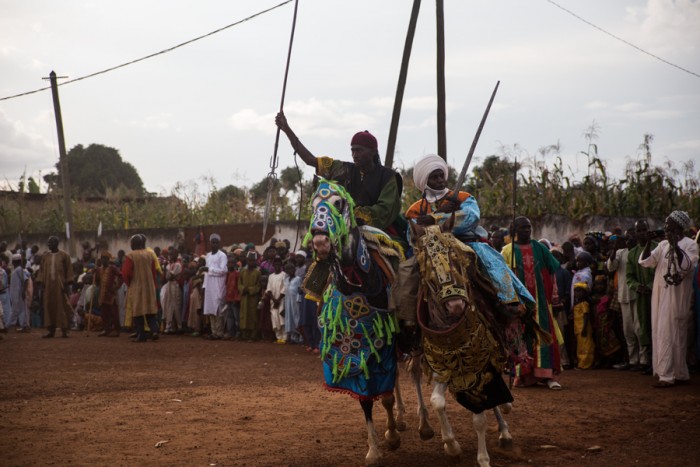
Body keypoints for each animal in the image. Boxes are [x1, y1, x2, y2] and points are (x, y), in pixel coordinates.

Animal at [304, 177, 404, 466]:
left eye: (339, 203)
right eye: (312, 206)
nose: (320, 241)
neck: (357, 283)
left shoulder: (384, 348)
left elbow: (386, 394)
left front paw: (392, 436)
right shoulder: (352, 357)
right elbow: (365, 399)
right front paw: (374, 449)